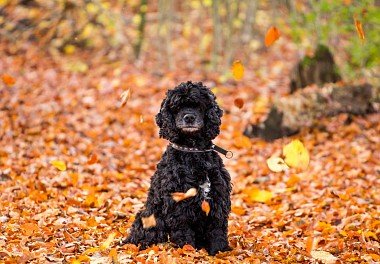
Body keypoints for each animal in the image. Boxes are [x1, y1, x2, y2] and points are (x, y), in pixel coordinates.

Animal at [121, 81, 232, 256]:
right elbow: (183, 233)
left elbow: (217, 231)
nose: (189, 117)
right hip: (148, 217)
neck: (193, 152)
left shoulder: (218, 199)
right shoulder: (178, 204)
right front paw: (188, 252)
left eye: (199, 105)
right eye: (177, 107)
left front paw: (220, 252)